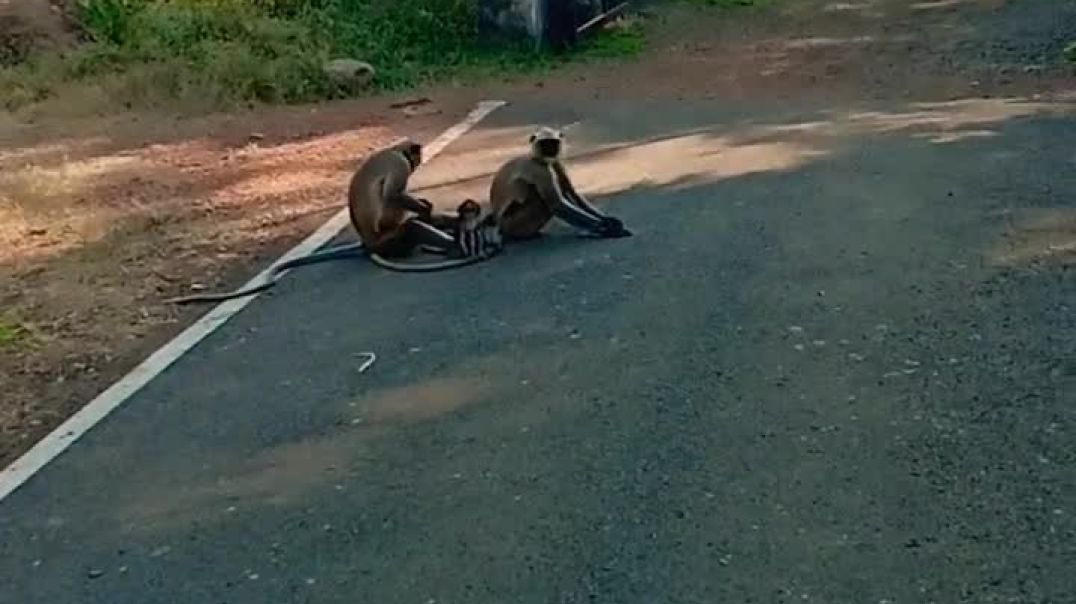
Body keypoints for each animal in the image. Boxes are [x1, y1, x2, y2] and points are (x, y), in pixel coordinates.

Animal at [165, 140, 502, 305]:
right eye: (415, 155)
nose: (419, 158)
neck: (393, 149)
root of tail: (367, 243)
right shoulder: (399, 163)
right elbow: (394, 194)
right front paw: (426, 207)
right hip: (388, 237)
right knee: (411, 225)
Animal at [489, 126, 632, 242]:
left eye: (553, 143)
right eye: (544, 143)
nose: (549, 149)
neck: (536, 158)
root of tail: (500, 227)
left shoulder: (556, 162)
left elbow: (571, 192)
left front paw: (607, 220)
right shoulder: (539, 169)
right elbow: (557, 204)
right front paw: (607, 228)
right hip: (514, 223)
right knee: (540, 200)